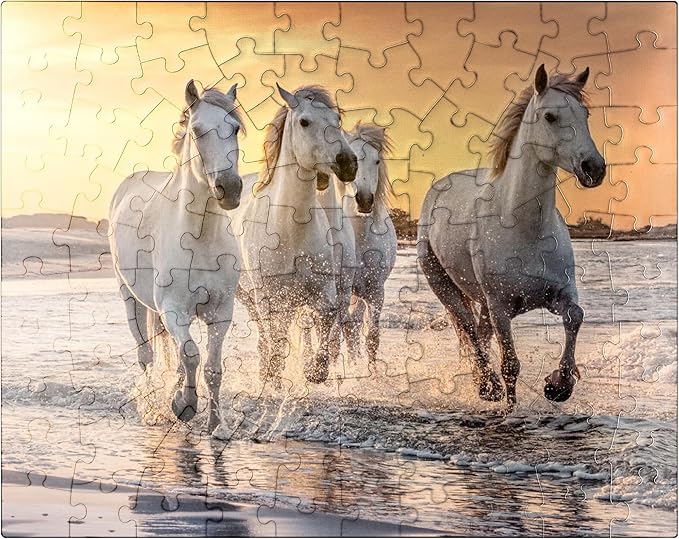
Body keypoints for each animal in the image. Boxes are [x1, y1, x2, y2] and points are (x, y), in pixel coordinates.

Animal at [109, 80, 245, 433]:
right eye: (197, 130)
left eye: (235, 128)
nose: (229, 188)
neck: (200, 237)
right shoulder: (173, 311)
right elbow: (192, 355)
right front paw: (184, 405)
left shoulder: (221, 313)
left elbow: (211, 367)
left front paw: (215, 425)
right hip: (130, 298)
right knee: (147, 356)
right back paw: (154, 402)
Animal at [232, 84, 357, 387]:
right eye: (304, 122)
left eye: (337, 120)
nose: (348, 162)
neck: (291, 231)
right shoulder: (269, 298)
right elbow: (275, 340)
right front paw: (274, 376)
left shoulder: (324, 294)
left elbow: (326, 323)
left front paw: (314, 371)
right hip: (249, 296)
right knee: (265, 334)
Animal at [417, 65, 606, 409]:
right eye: (550, 117)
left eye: (585, 113)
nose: (594, 168)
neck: (526, 229)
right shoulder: (501, 307)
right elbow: (510, 365)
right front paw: (511, 406)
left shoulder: (559, 294)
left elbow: (576, 316)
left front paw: (559, 385)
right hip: (444, 284)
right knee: (469, 329)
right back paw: (487, 386)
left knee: (479, 333)